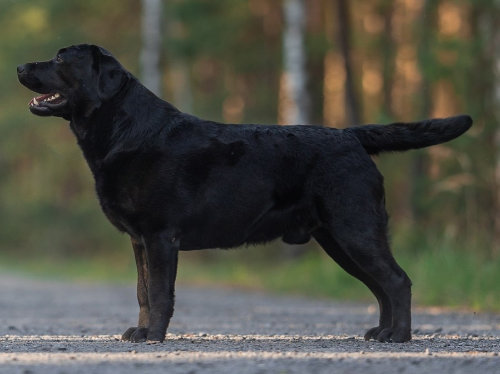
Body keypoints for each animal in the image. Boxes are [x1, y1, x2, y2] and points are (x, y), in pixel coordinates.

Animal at [14, 43, 468, 342]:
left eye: (60, 59)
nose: (18, 65)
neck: (125, 131)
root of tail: (351, 136)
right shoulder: (138, 240)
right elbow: (142, 291)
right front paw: (140, 330)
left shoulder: (160, 236)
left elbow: (159, 293)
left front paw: (153, 335)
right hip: (338, 239)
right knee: (381, 285)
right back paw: (382, 331)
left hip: (355, 228)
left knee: (397, 281)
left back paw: (399, 336)